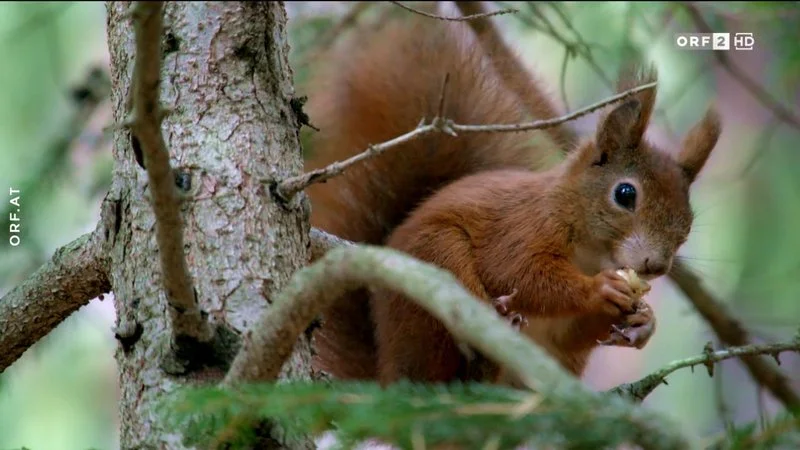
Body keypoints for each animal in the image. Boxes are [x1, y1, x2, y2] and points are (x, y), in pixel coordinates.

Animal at [301, 14, 722, 386]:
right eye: (625, 194)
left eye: (688, 222)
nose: (656, 266)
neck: (590, 254)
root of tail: (388, 376)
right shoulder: (521, 228)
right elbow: (518, 272)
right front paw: (599, 290)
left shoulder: (563, 332)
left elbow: (572, 331)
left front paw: (643, 322)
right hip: (434, 263)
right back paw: (491, 328)